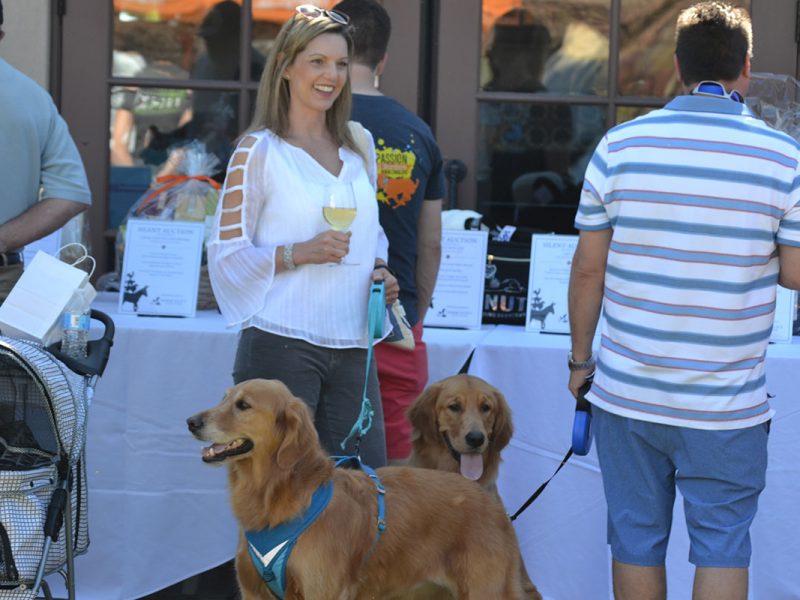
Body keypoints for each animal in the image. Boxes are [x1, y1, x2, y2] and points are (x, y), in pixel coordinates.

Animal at [186, 380, 524, 600]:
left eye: (243, 405)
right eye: (223, 399)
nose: (191, 421)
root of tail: (486, 497)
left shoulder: (323, 592)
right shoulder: (253, 592)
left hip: (485, 590)